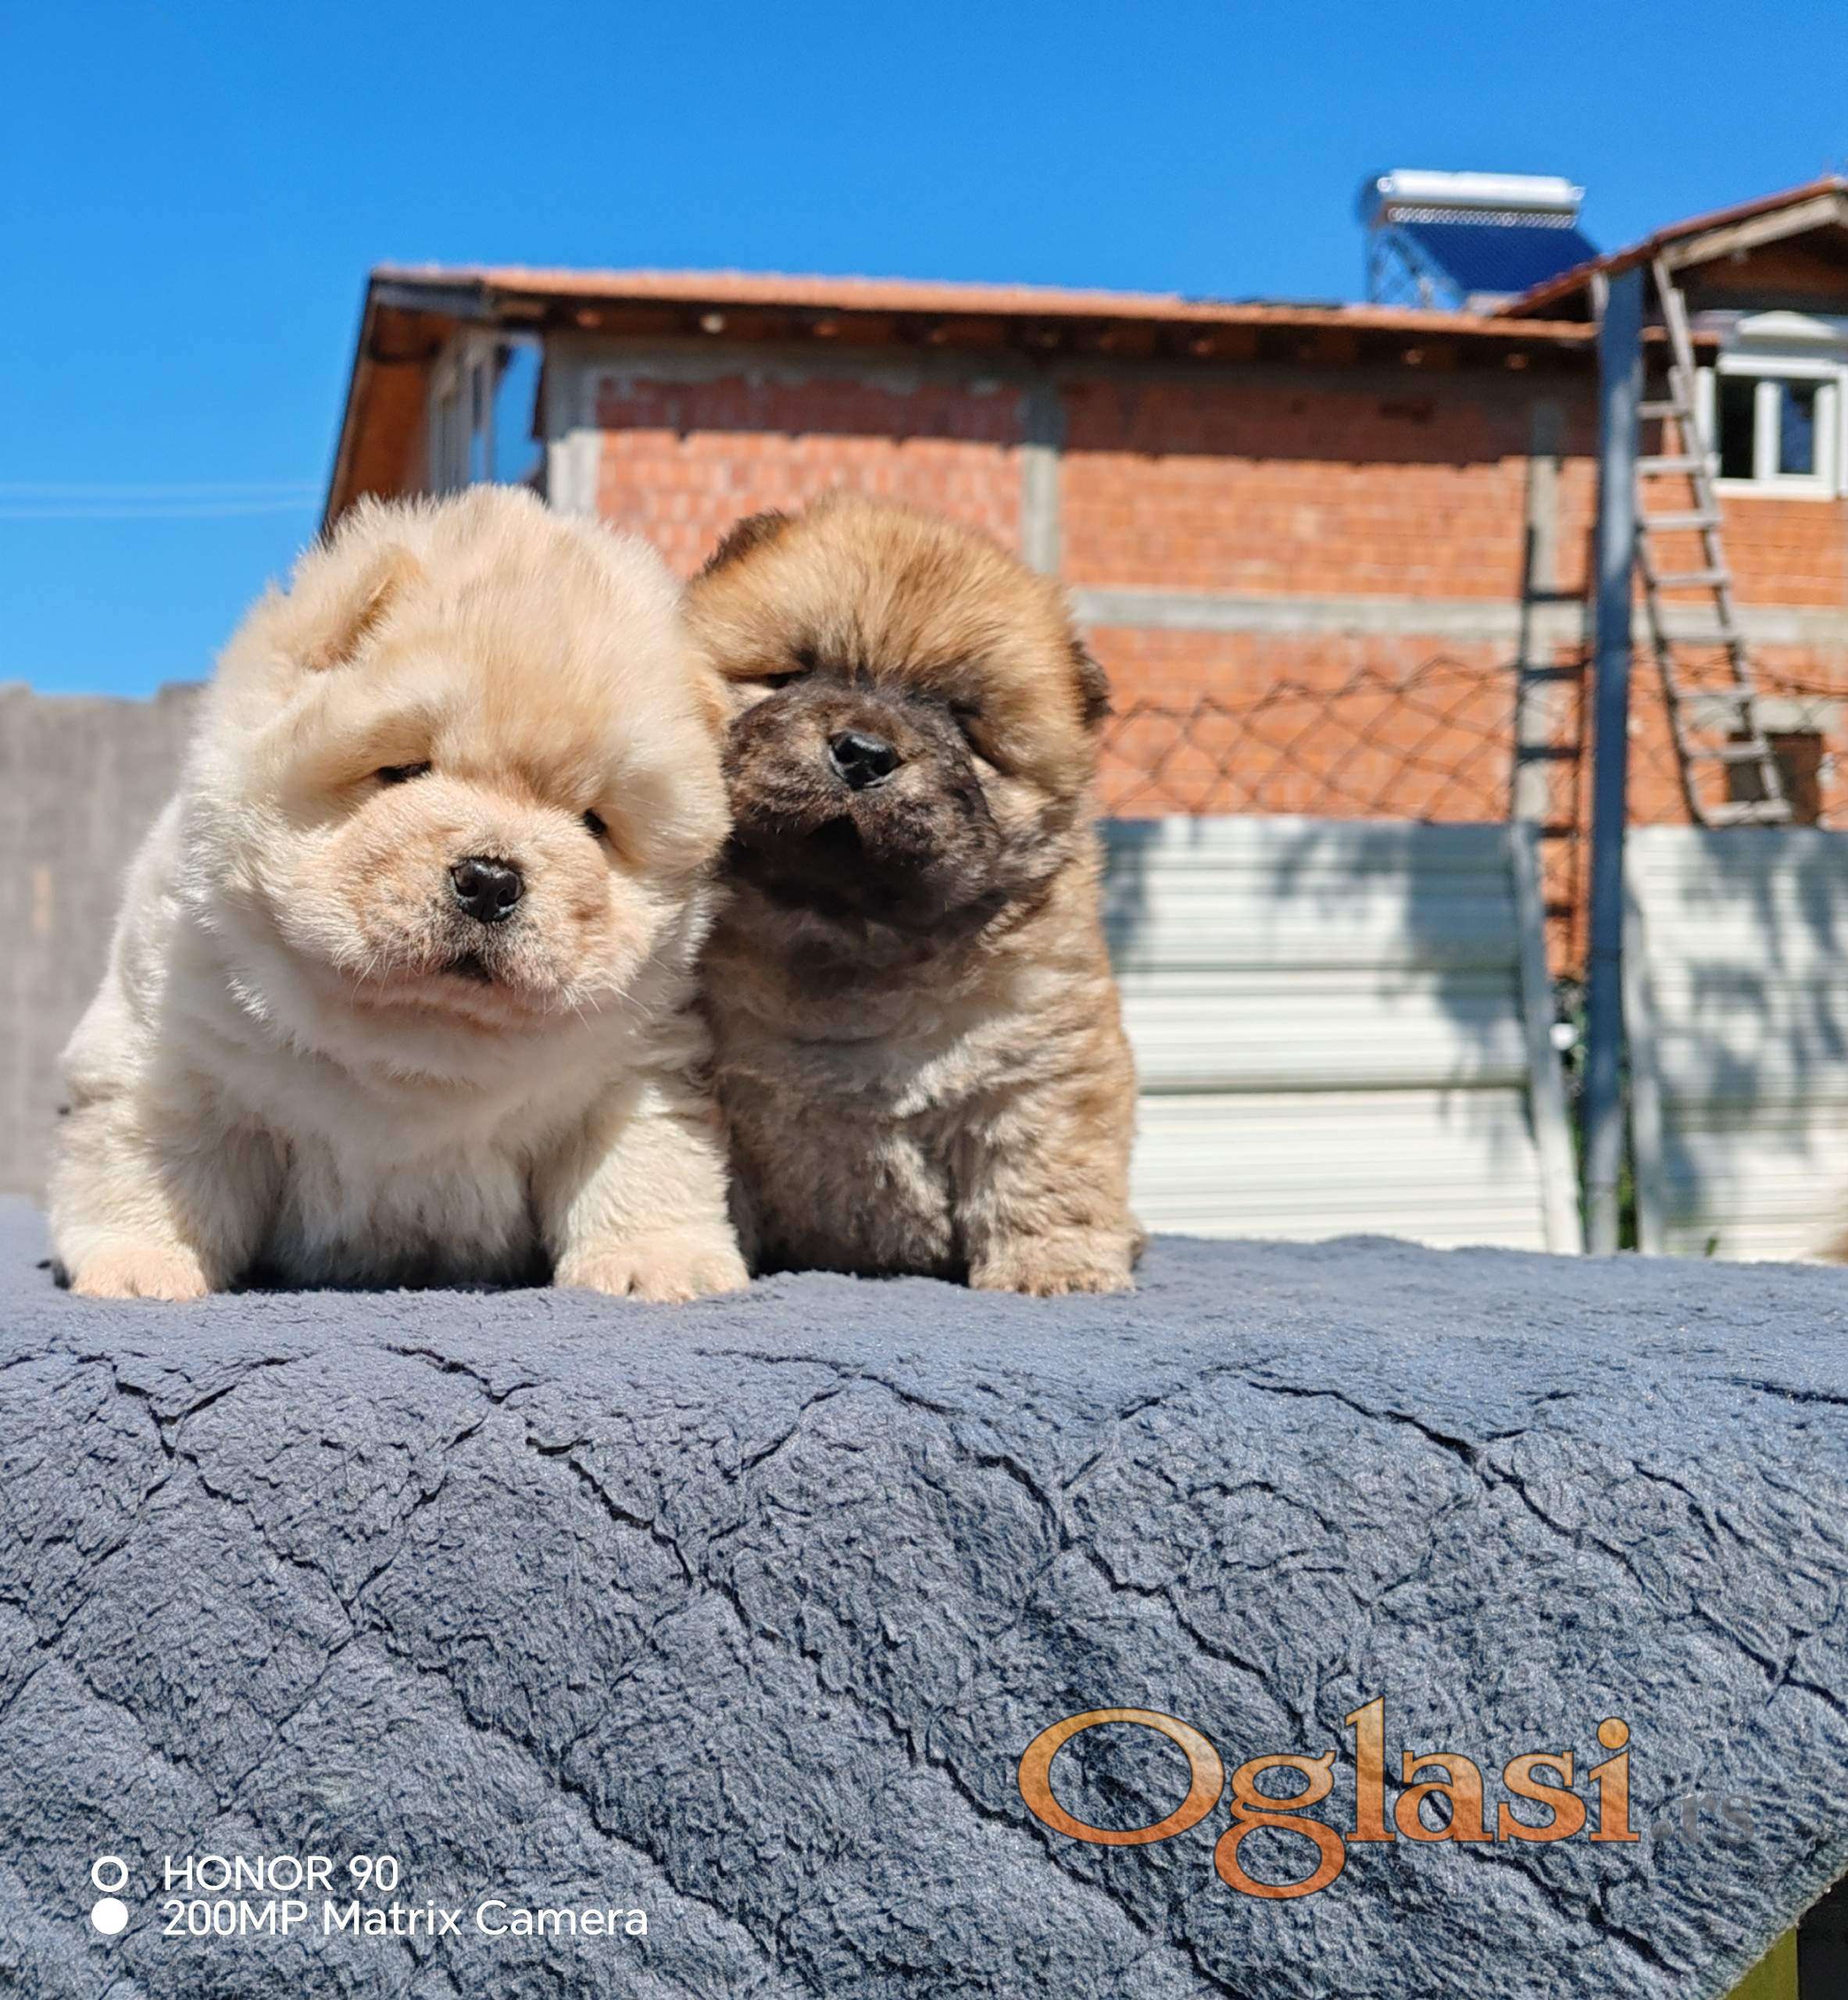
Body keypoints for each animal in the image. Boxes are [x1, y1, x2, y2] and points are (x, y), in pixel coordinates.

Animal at [50, 486, 747, 1301]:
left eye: (594, 823)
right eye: (405, 770)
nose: (491, 880)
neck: (415, 1045)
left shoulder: (635, 1072)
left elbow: (640, 1170)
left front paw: (659, 1267)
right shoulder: (180, 1059)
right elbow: (154, 1165)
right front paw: (142, 1267)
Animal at [685, 494, 1139, 1295]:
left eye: (961, 719)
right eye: (791, 675)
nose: (863, 754)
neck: (849, 945)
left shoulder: (1040, 1068)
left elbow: (1048, 1172)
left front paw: (1056, 1271)